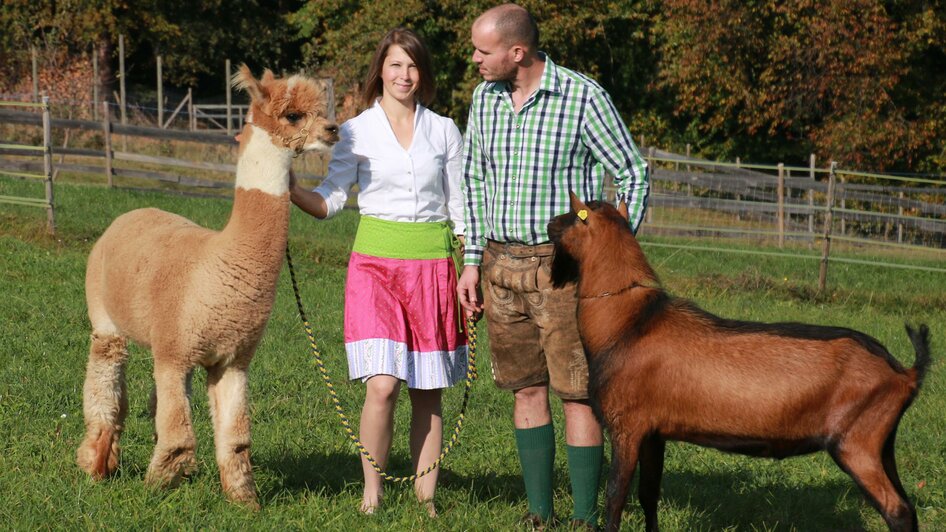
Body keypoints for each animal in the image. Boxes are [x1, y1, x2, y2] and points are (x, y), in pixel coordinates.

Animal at [544, 192, 928, 532]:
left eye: (572, 215)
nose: (548, 222)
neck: (628, 321)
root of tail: (905, 373)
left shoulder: (627, 425)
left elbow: (615, 497)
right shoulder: (654, 432)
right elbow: (648, 495)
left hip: (856, 441)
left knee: (897, 510)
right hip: (882, 444)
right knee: (908, 507)